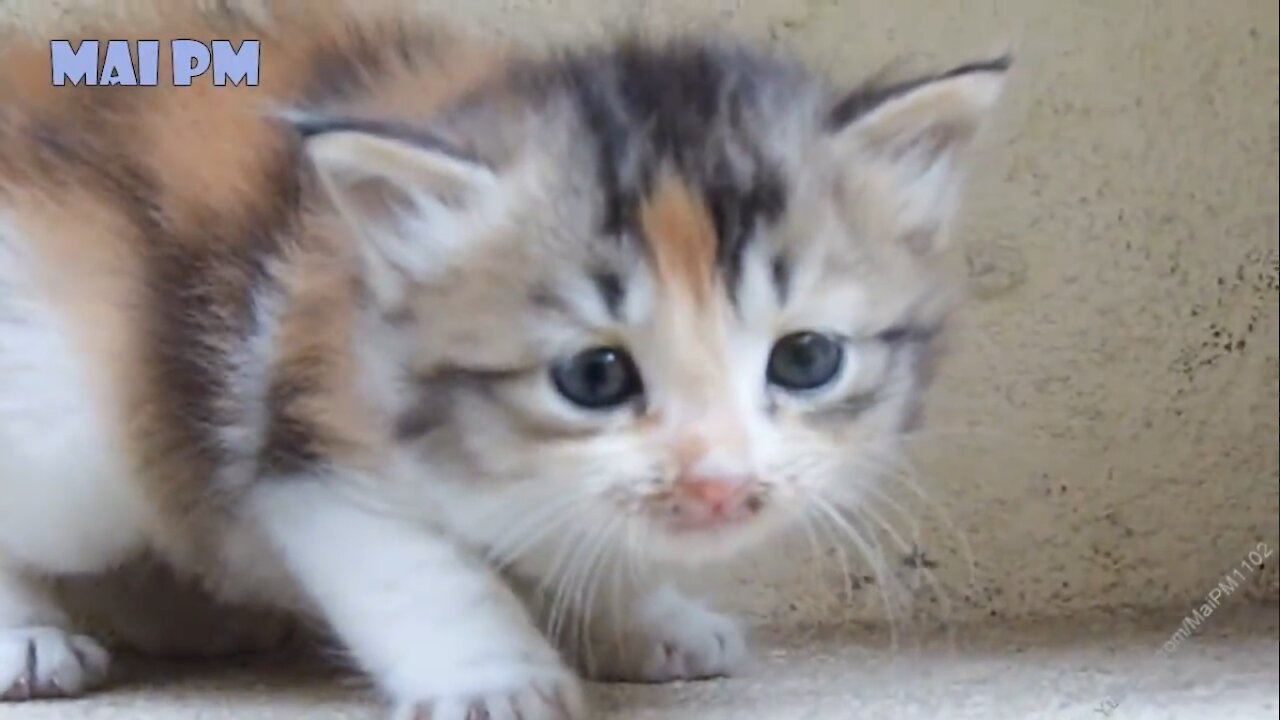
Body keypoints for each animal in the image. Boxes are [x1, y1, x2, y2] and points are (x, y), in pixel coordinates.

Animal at [0, 2, 1003, 712]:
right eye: (595, 377)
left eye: (805, 360)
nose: (717, 483)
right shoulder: (307, 439)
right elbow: (425, 572)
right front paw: (495, 676)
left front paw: (644, 619)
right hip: (70, 414)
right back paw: (32, 643)